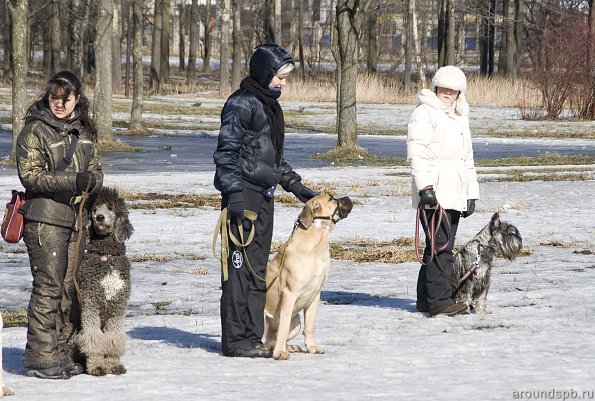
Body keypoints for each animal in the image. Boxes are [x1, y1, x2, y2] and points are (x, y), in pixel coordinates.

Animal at [264, 194, 352, 360]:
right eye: (331, 198)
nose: (348, 197)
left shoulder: (315, 294)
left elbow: (310, 325)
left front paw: (312, 347)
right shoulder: (289, 294)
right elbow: (283, 325)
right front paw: (280, 353)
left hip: (296, 322)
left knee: (273, 339)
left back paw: (289, 346)